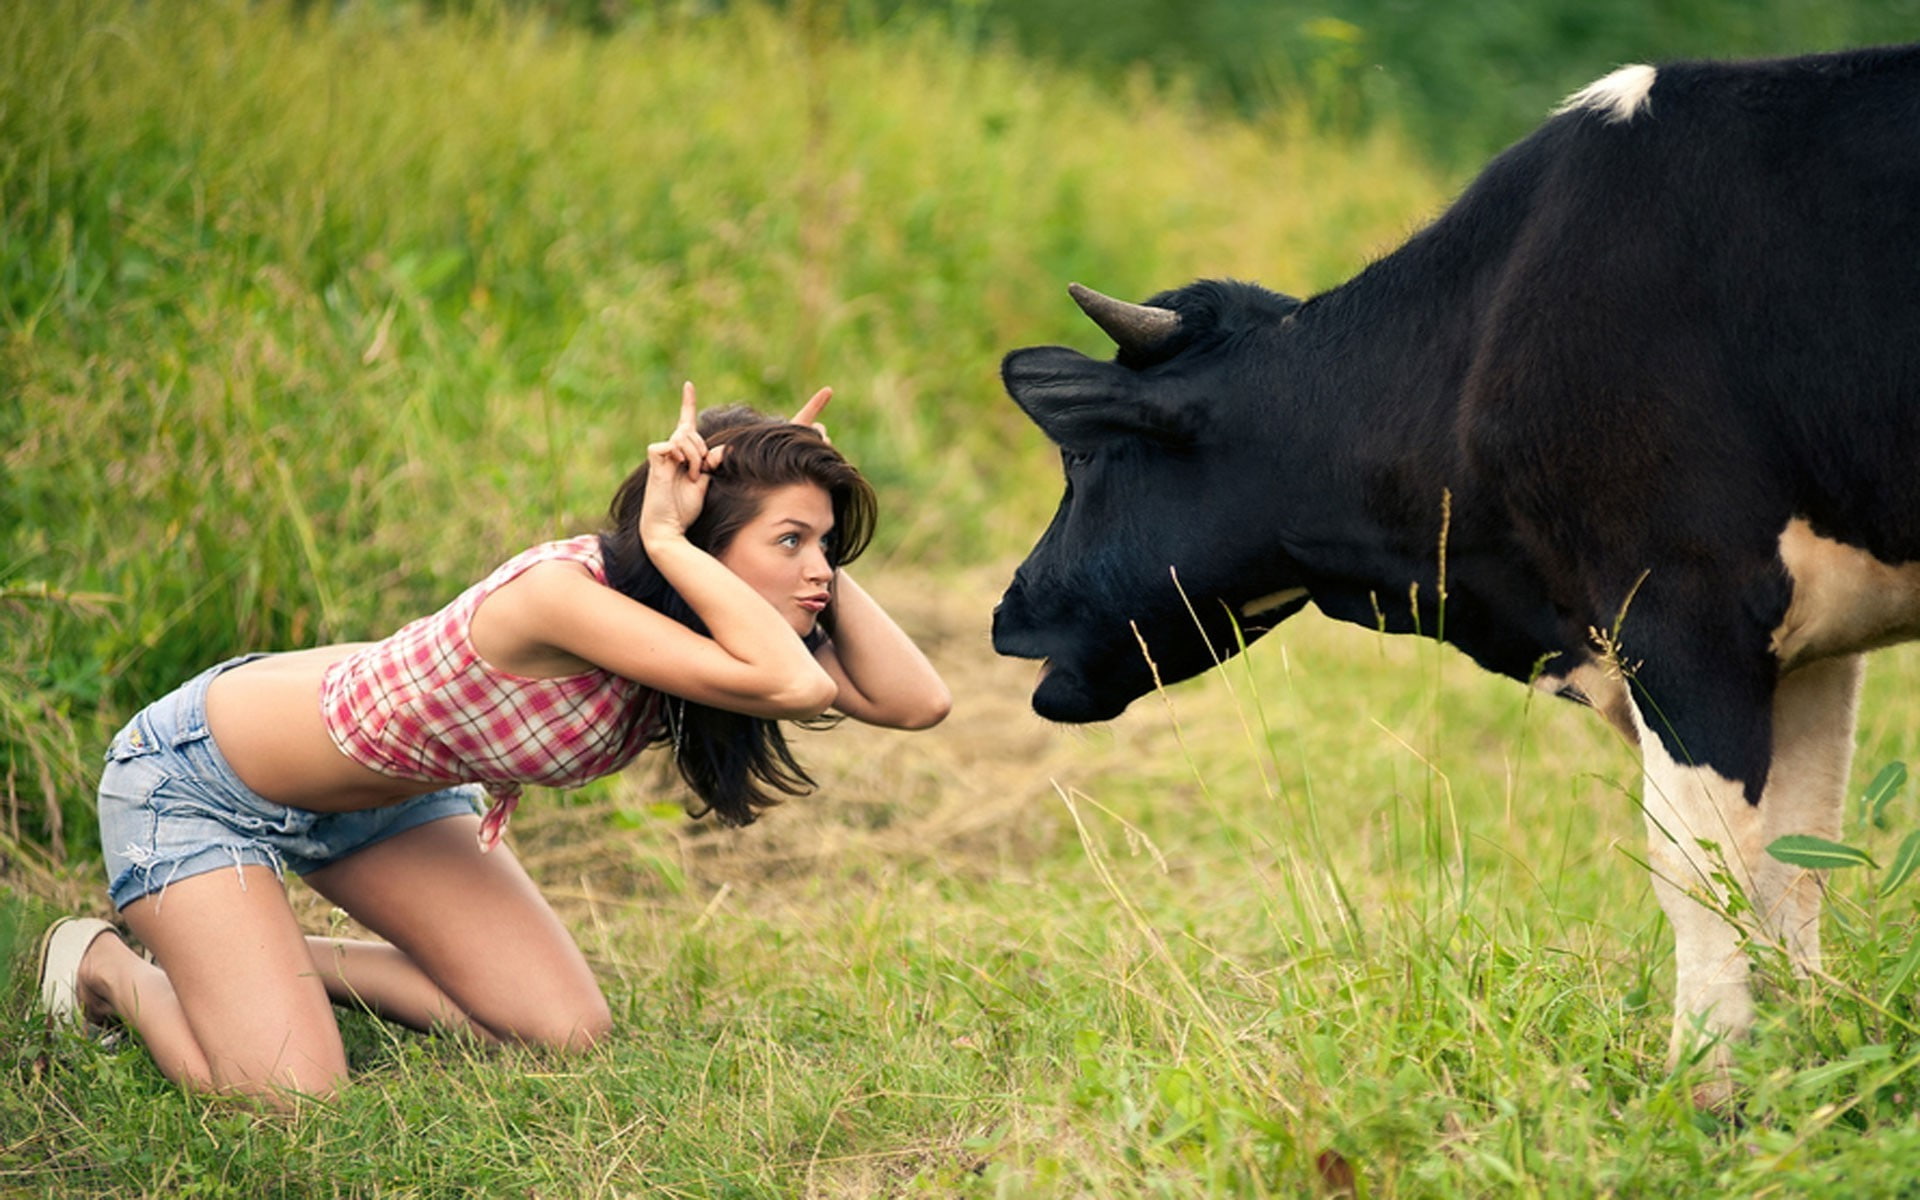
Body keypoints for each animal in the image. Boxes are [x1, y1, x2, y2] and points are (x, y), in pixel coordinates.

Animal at [991, 42, 1920, 1095]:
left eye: (1079, 456)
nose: (1007, 610)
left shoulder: (1686, 608)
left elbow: (1700, 867)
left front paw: (1706, 1086)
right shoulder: (1808, 647)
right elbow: (1796, 860)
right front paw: (1801, 1063)